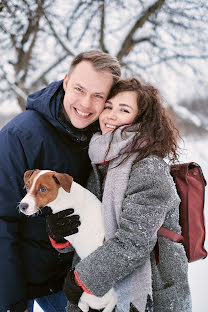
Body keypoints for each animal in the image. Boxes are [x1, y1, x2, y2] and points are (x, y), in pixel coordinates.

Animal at [19, 169, 117, 312]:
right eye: (27, 185)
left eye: (43, 189)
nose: (22, 206)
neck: (64, 196)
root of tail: (113, 299)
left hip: (86, 297)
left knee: (83, 304)